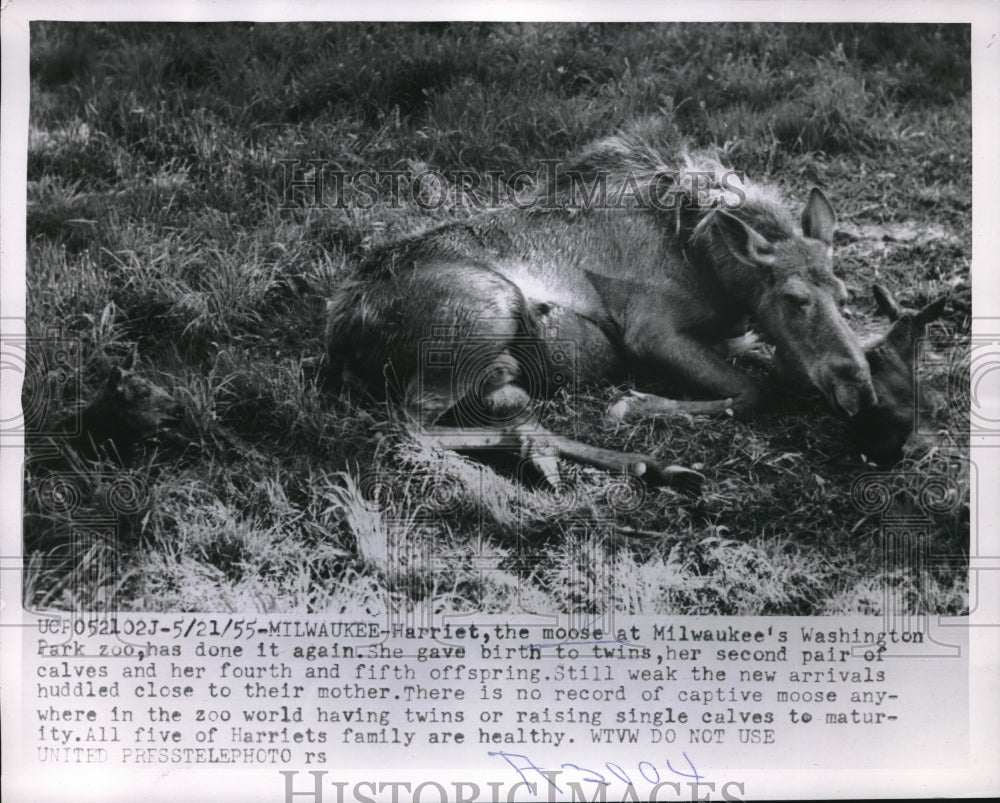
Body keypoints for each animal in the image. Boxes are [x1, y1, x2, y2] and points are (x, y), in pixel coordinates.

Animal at [328, 119, 876, 490]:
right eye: (794, 298)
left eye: (845, 296)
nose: (860, 391)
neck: (705, 256)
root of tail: (344, 331)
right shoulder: (651, 332)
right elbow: (751, 392)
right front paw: (634, 404)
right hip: (488, 314)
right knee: (409, 427)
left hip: (495, 360)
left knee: (504, 406)